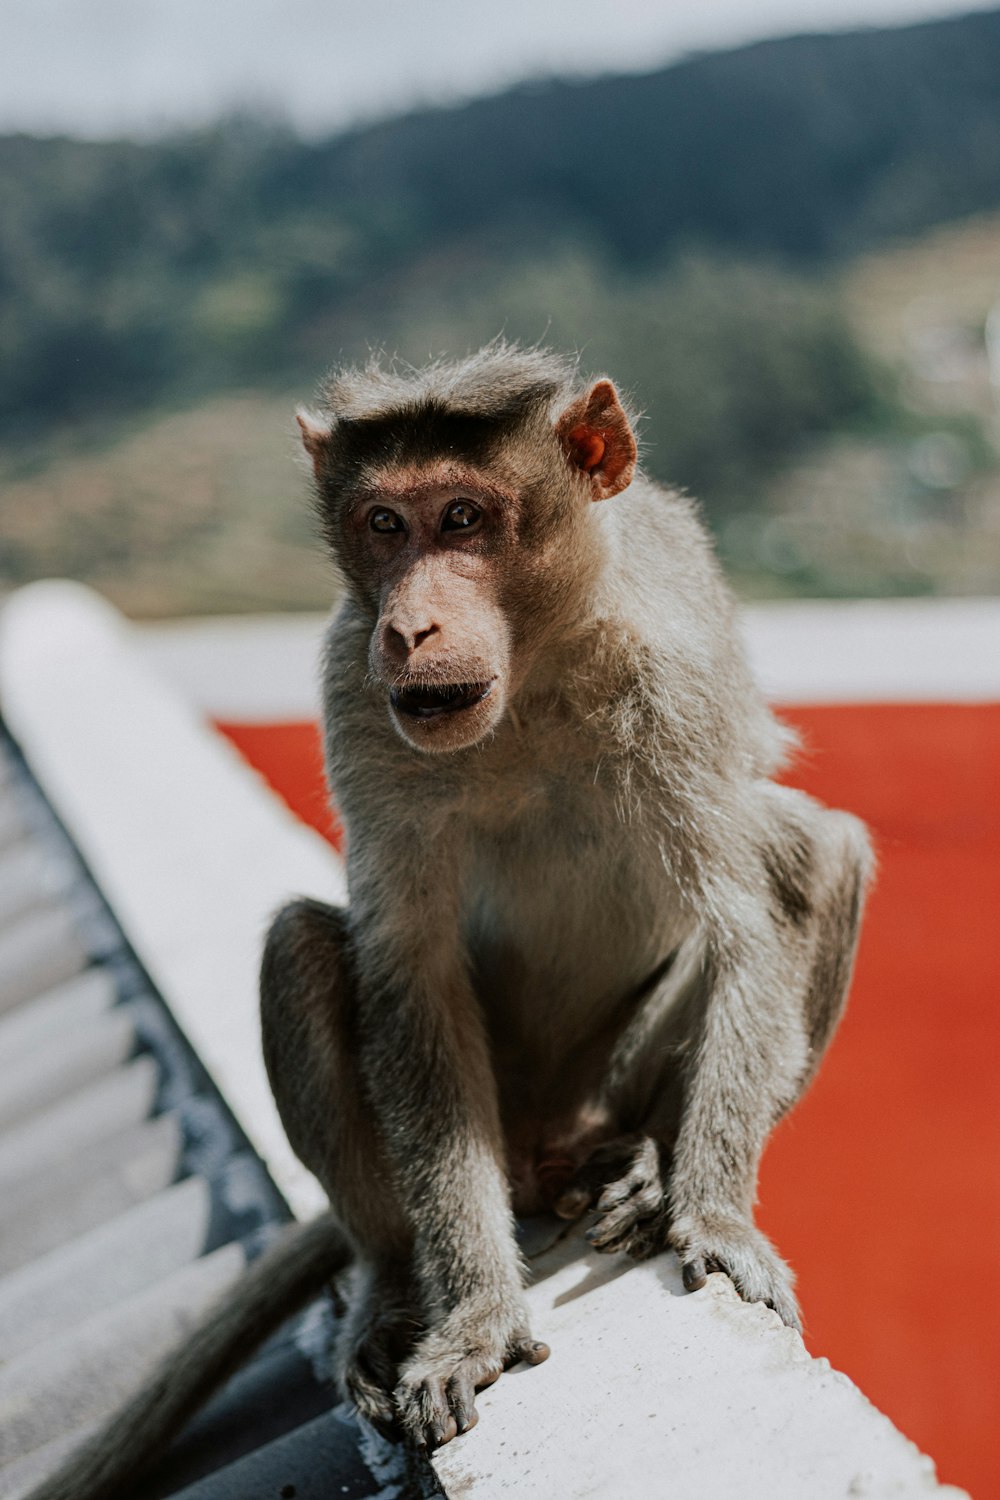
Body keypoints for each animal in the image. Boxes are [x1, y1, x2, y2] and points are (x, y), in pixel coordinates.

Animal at [27, 343, 869, 1500]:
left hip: (604, 1080)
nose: (408, 625)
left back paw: (642, 1162)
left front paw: (714, 1216)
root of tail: (547, 1143)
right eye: (386, 525)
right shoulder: (354, 690)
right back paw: (391, 1283)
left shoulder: (674, 681)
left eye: (464, 517)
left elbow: (747, 922)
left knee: (815, 854)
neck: (535, 668)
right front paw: (471, 1316)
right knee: (302, 948)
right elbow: (409, 977)